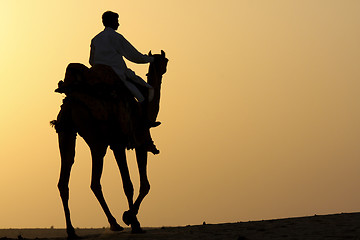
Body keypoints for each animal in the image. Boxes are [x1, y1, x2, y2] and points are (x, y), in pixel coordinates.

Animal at [51, 50, 168, 238]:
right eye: (166, 60)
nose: (165, 67)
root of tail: (72, 105)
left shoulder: (120, 144)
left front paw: (129, 218)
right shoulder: (134, 142)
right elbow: (137, 185)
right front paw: (131, 220)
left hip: (68, 133)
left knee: (68, 178)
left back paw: (75, 230)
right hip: (100, 140)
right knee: (97, 181)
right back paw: (116, 223)